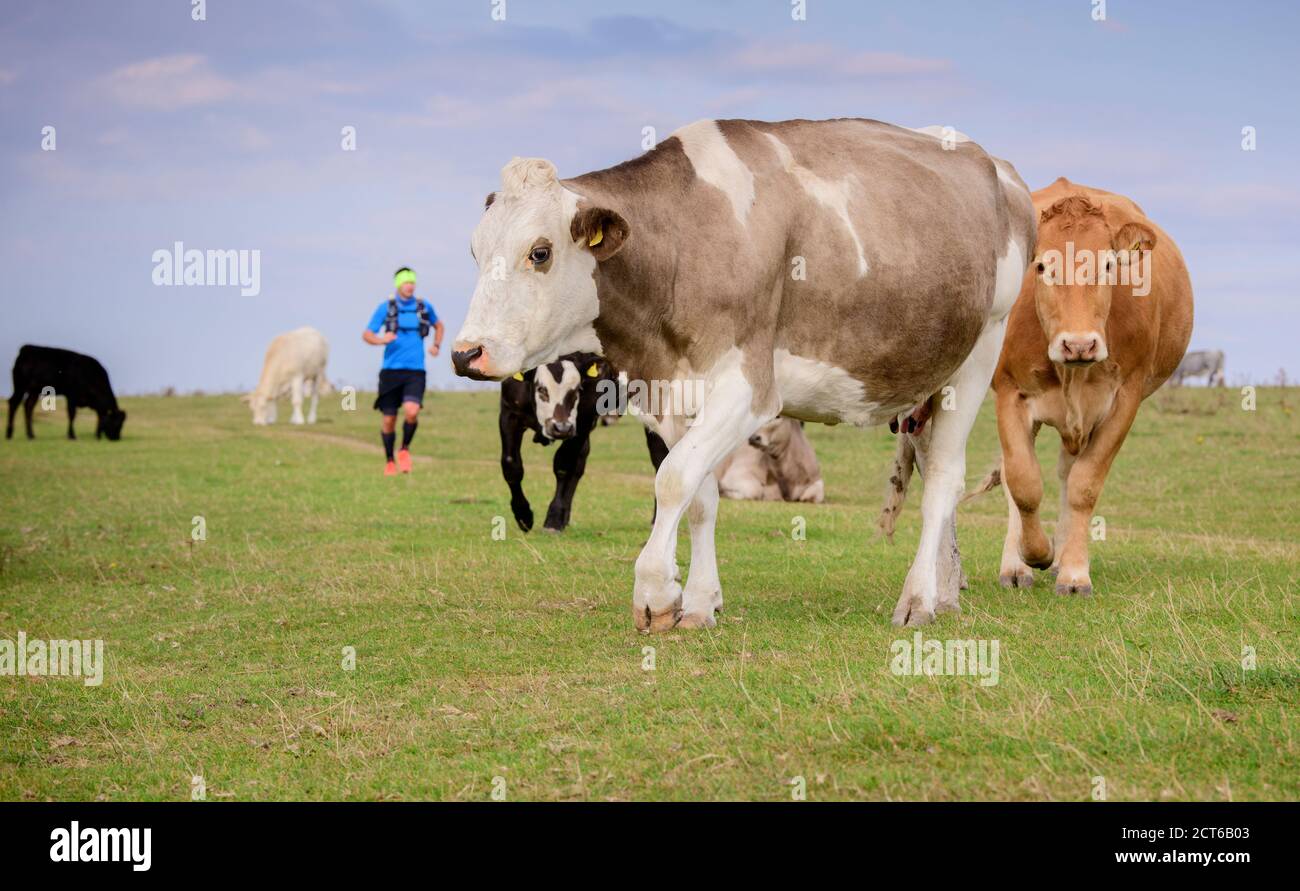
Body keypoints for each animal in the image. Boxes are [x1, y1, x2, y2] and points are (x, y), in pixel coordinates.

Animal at [491, 351, 665, 530]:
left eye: (576, 391)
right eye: (541, 389)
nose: (561, 428)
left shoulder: (583, 420)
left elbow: (563, 465)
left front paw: (553, 519)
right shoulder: (509, 413)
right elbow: (511, 465)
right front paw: (523, 515)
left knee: (659, 458)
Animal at [982, 176, 1190, 593]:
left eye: (1108, 264)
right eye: (1042, 266)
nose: (1079, 344)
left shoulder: (1125, 400)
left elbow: (1084, 485)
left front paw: (1074, 570)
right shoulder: (1010, 394)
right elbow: (1023, 482)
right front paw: (1034, 553)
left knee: (1067, 474)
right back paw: (1017, 565)